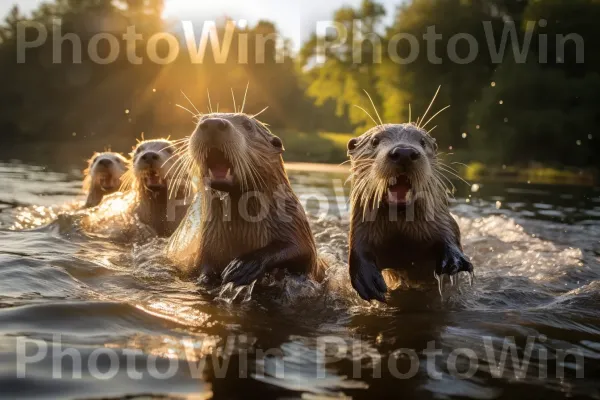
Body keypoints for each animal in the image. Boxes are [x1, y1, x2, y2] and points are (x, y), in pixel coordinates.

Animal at [166, 112, 326, 284]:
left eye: (248, 125)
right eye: (201, 120)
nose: (213, 123)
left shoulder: (295, 223)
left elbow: (303, 252)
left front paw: (243, 265)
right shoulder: (204, 244)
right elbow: (204, 265)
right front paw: (206, 278)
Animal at [346, 123, 474, 302]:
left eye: (422, 141)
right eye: (375, 141)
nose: (404, 152)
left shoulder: (441, 220)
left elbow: (450, 234)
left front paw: (454, 261)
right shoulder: (360, 229)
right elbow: (359, 249)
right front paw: (367, 279)